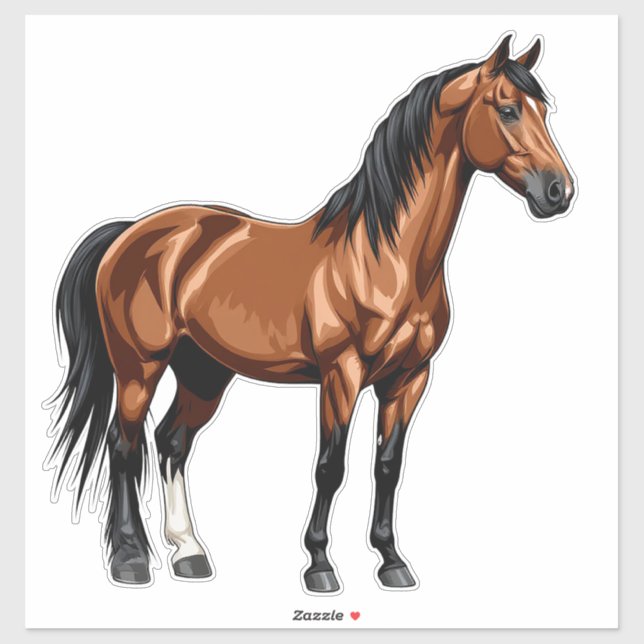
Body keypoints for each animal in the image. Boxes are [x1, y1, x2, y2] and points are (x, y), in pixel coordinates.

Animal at [46, 33, 575, 592]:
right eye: (509, 110)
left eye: (544, 110)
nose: (558, 191)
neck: (385, 257)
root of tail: (128, 232)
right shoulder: (341, 374)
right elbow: (330, 466)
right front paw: (320, 565)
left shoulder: (408, 379)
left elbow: (388, 466)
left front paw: (392, 561)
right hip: (138, 368)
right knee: (123, 447)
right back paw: (130, 560)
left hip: (203, 372)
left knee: (172, 443)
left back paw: (189, 552)